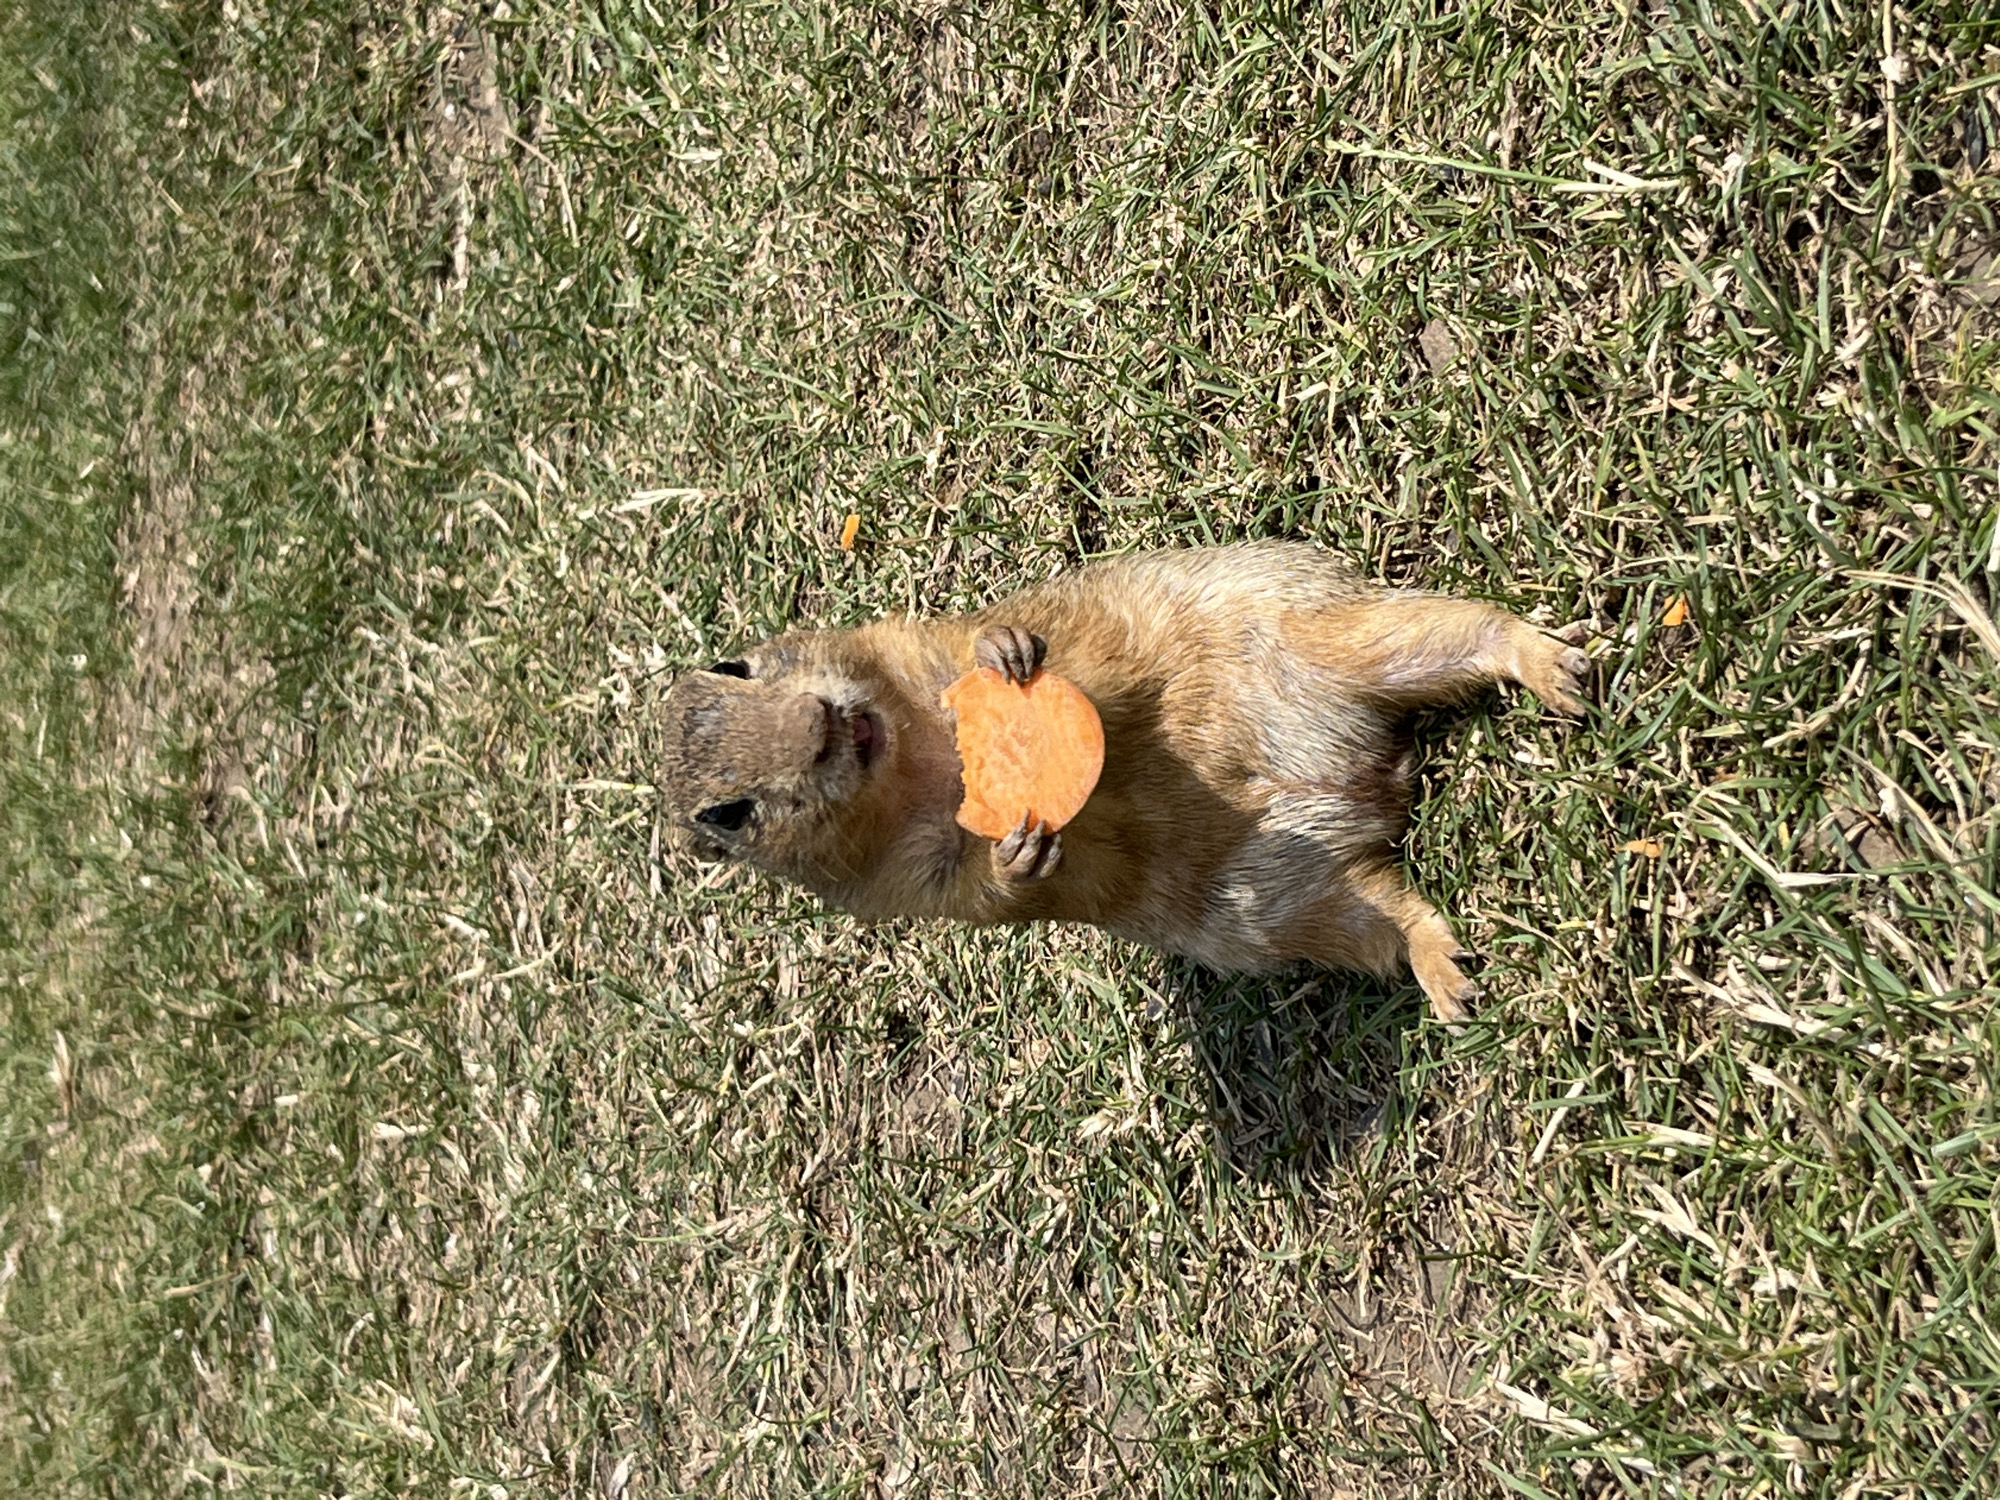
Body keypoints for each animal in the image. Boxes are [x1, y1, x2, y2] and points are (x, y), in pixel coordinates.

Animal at [655, 541, 1589, 1020]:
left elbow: (1034, 646)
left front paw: (1006, 652)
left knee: (1464, 630)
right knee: (1387, 910)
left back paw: (1553, 665)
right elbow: (980, 894)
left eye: (735, 664)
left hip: (1342, 637)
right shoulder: (897, 884)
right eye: (727, 814)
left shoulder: (918, 640)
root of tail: (1372, 784)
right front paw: (1018, 857)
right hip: (1299, 912)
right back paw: (1446, 972)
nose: (822, 726)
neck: (924, 755)